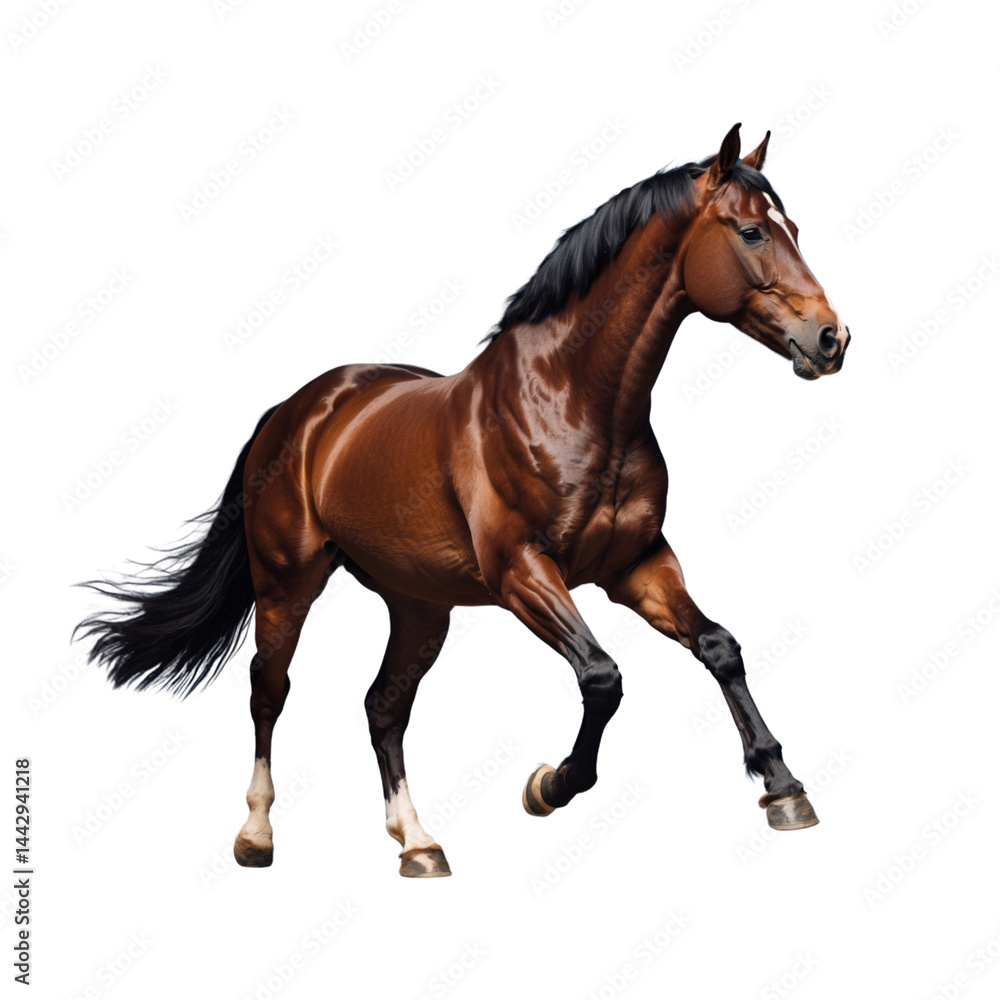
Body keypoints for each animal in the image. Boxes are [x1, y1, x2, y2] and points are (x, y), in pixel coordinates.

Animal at [77, 123, 849, 878]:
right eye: (752, 232)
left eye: (795, 227)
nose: (832, 338)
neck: (572, 400)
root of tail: (296, 411)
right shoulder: (523, 574)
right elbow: (602, 677)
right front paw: (548, 786)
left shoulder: (638, 567)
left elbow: (720, 647)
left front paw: (783, 789)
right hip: (287, 585)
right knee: (270, 690)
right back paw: (258, 836)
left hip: (420, 606)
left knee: (383, 706)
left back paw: (417, 843)